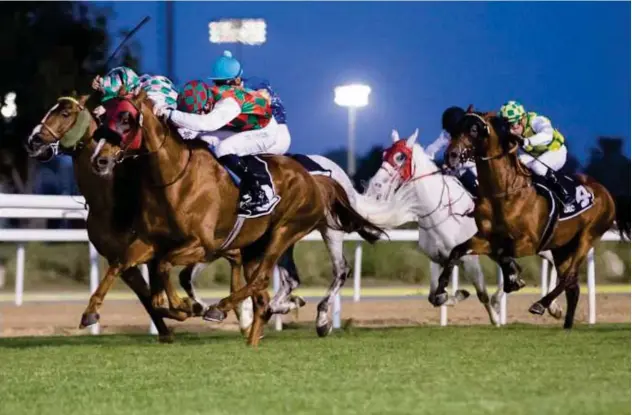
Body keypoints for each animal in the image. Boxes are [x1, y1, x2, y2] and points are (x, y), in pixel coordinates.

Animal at [22, 95, 246, 342]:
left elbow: (157, 293)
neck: (108, 198)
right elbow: (149, 298)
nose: (33, 140)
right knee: (234, 256)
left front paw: (187, 308)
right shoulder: (121, 257)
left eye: (65, 113)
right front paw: (171, 325)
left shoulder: (151, 250)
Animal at [89, 91, 386, 348]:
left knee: (268, 279)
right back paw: (253, 337)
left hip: (285, 232)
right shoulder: (151, 240)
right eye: (103, 118)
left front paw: (185, 305)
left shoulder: (203, 245)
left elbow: (165, 267)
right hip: (255, 245)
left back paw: (224, 308)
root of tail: (314, 178)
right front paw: (91, 312)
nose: (99, 160)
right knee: (262, 295)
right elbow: (121, 264)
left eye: (126, 119)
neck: (174, 178)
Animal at [444, 109, 628, 328]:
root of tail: (607, 193)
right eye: (455, 128)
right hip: (562, 247)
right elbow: (459, 251)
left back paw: (541, 304)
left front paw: (513, 279)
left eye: (473, 129)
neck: (503, 191)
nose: (451, 155)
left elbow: (503, 252)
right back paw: (566, 325)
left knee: (569, 276)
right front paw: (441, 292)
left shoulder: (529, 242)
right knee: (573, 287)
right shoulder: (485, 236)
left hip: (587, 238)